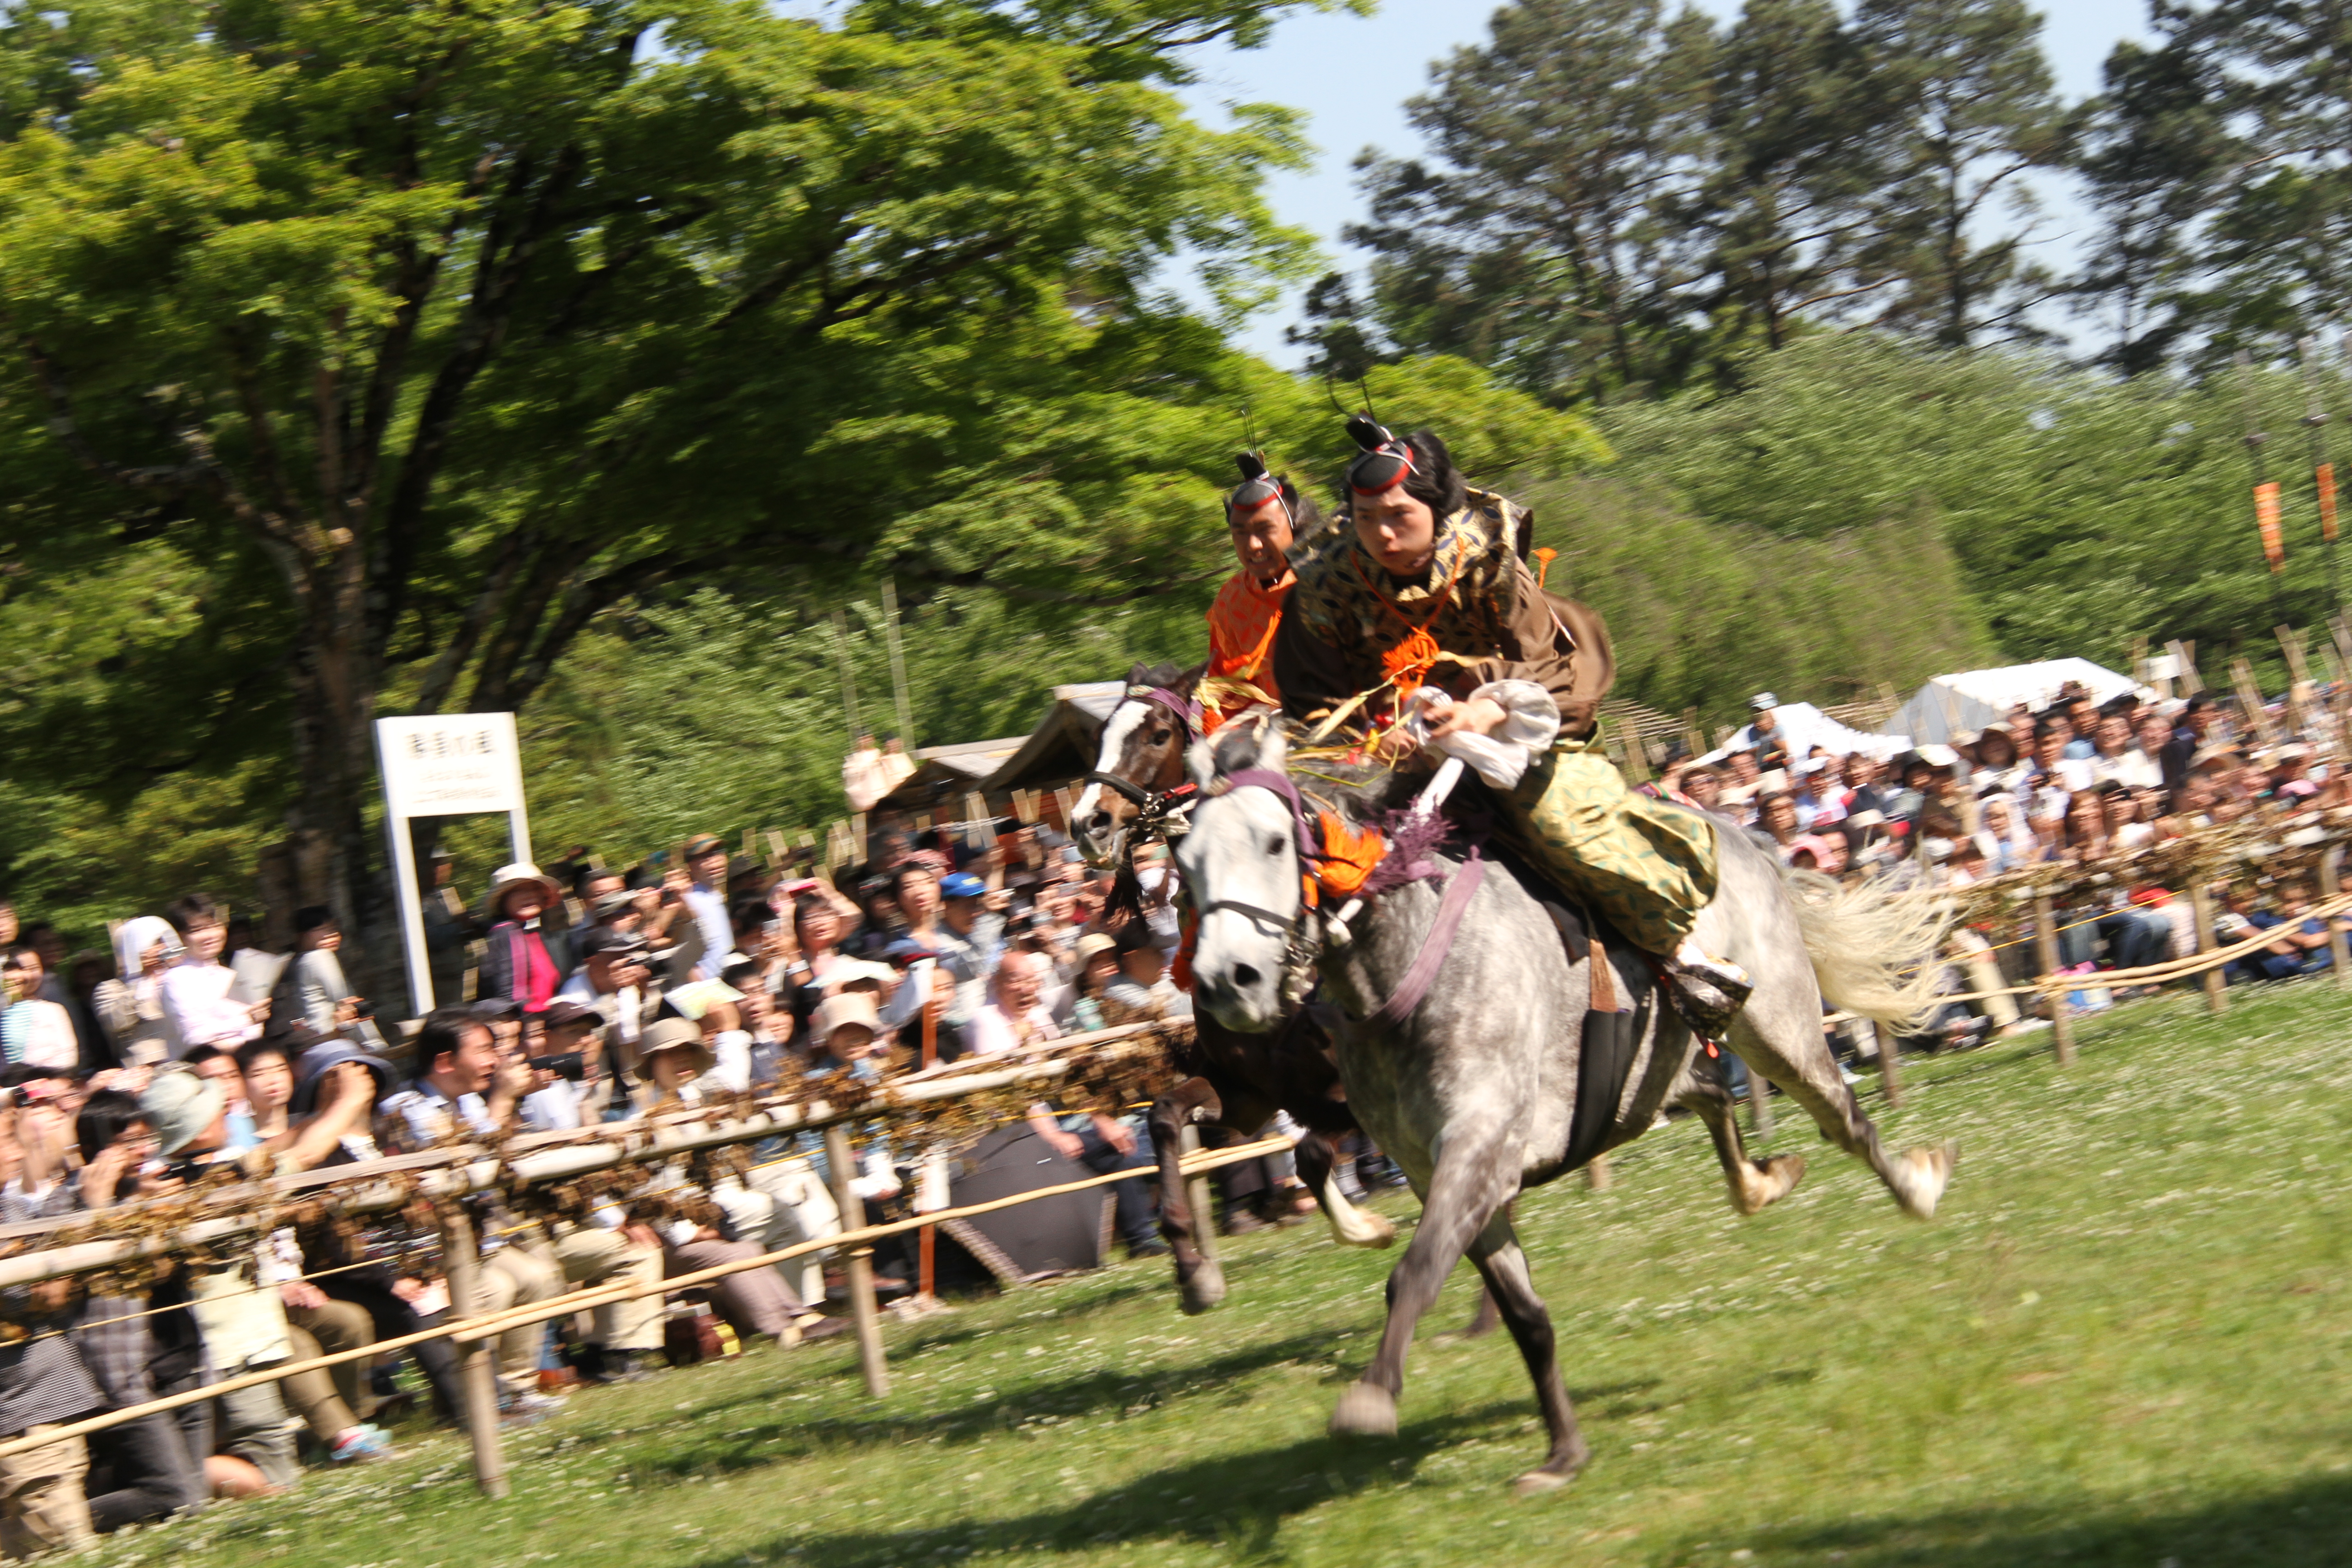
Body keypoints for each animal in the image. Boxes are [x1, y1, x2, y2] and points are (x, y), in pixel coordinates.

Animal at [1176, 719, 1966, 1495]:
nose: (1226, 983)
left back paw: (1917, 1187)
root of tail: (1744, 837)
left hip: (1778, 1030)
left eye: (1274, 842)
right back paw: (1758, 1183)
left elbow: (1416, 1270)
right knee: (1713, 1092)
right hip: (1656, 1070)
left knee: (1841, 1117)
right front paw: (1564, 1452)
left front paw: (1372, 1397)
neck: (1405, 968)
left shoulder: (1478, 1151)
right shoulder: (1443, 1174)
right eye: (1185, 862)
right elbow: (1524, 1314)